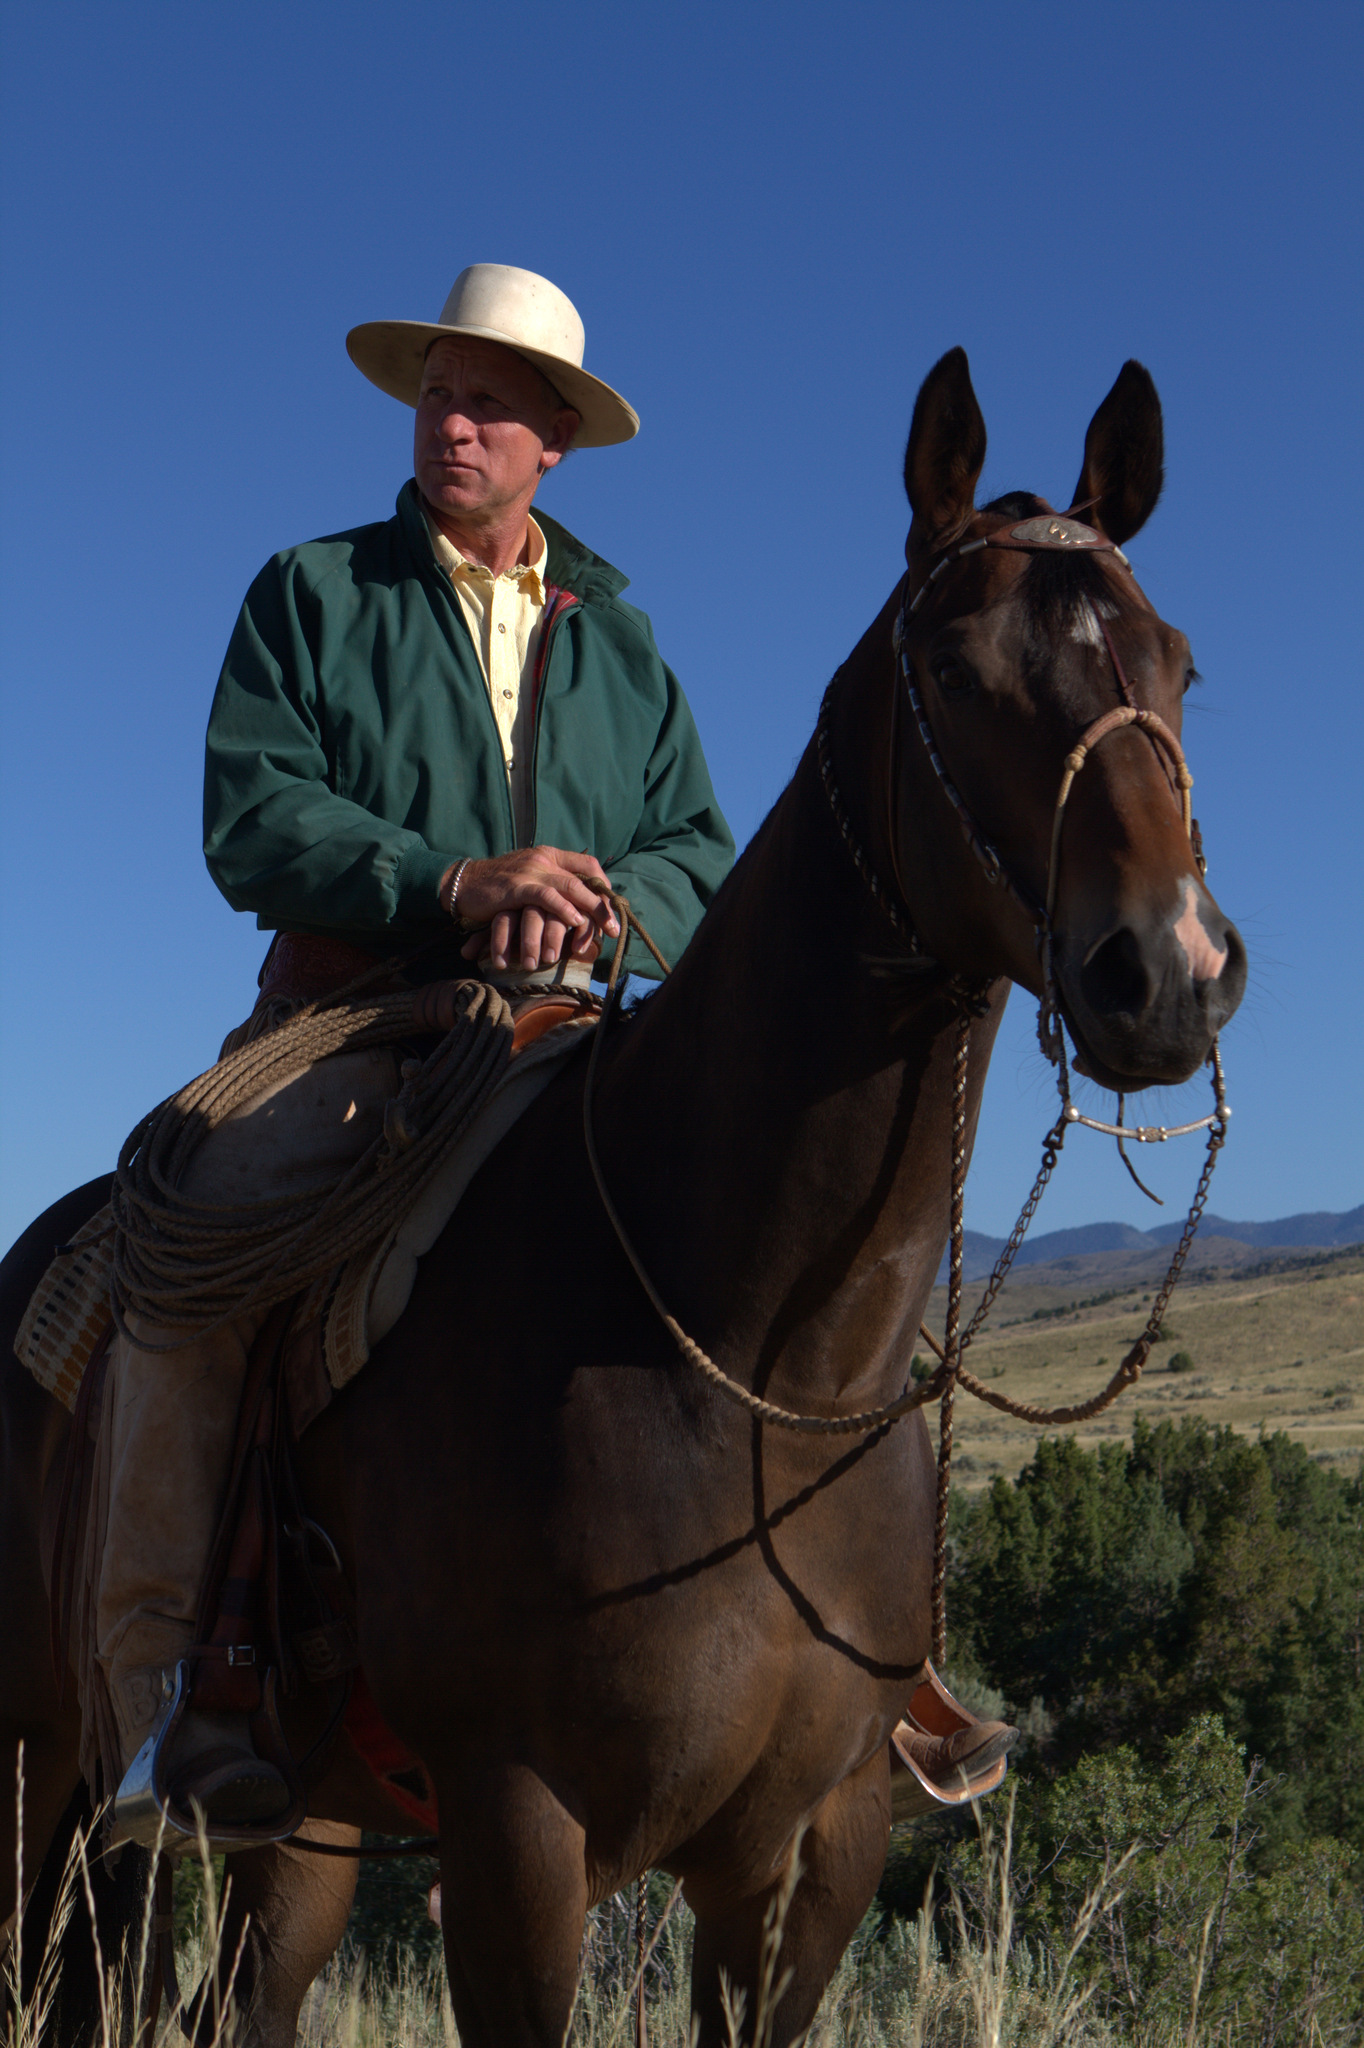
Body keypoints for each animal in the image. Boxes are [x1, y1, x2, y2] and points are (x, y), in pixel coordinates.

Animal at [0, 348, 1245, 2031]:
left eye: (1176, 665)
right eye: (958, 668)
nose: (1166, 974)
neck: (752, 1365)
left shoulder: (808, 1857)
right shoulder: (519, 1838)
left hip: (300, 1838)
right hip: (37, 1772)